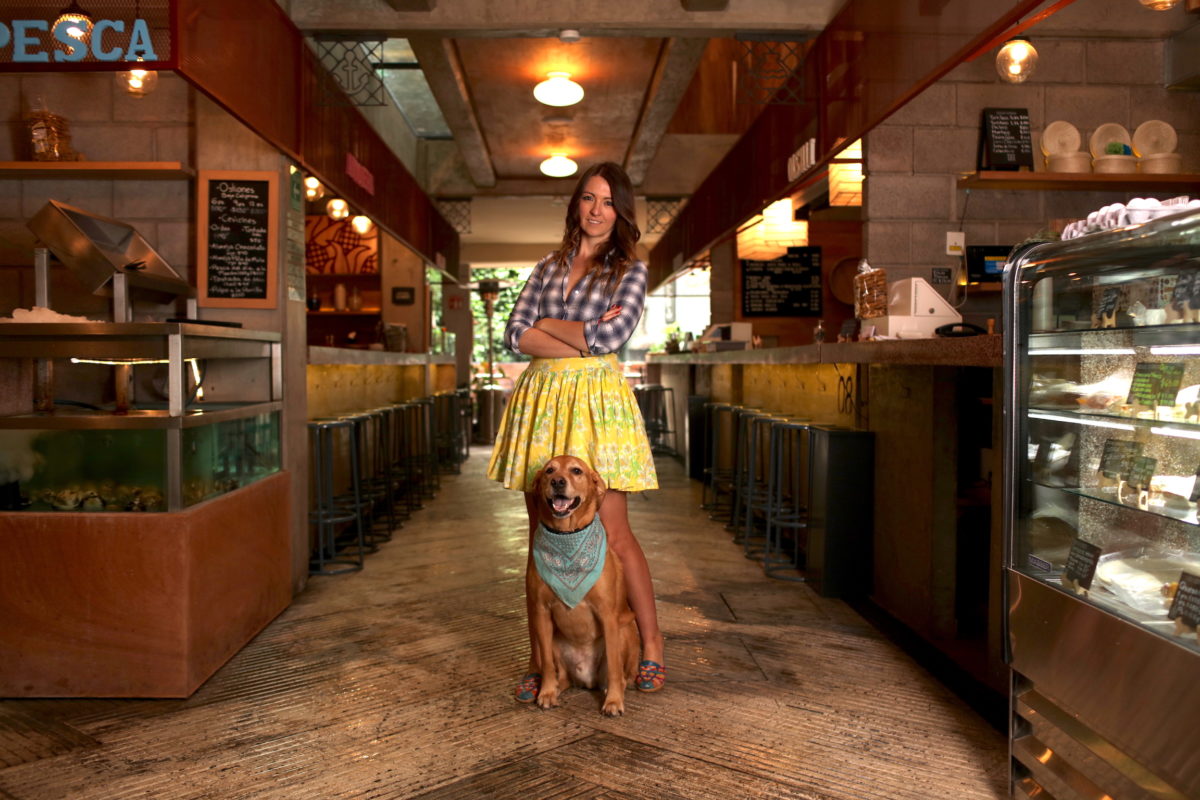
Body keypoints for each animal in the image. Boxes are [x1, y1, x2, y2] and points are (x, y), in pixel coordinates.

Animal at [525, 453, 638, 714]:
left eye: (576, 471)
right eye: (549, 470)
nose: (557, 481)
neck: (567, 535)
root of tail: (588, 680)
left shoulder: (608, 615)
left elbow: (615, 666)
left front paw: (614, 701)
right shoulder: (541, 613)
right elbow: (547, 664)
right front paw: (546, 692)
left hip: (625, 629)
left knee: (621, 674)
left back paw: (613, 690)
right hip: (554, 639)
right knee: (562, 675)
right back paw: (556, 688)